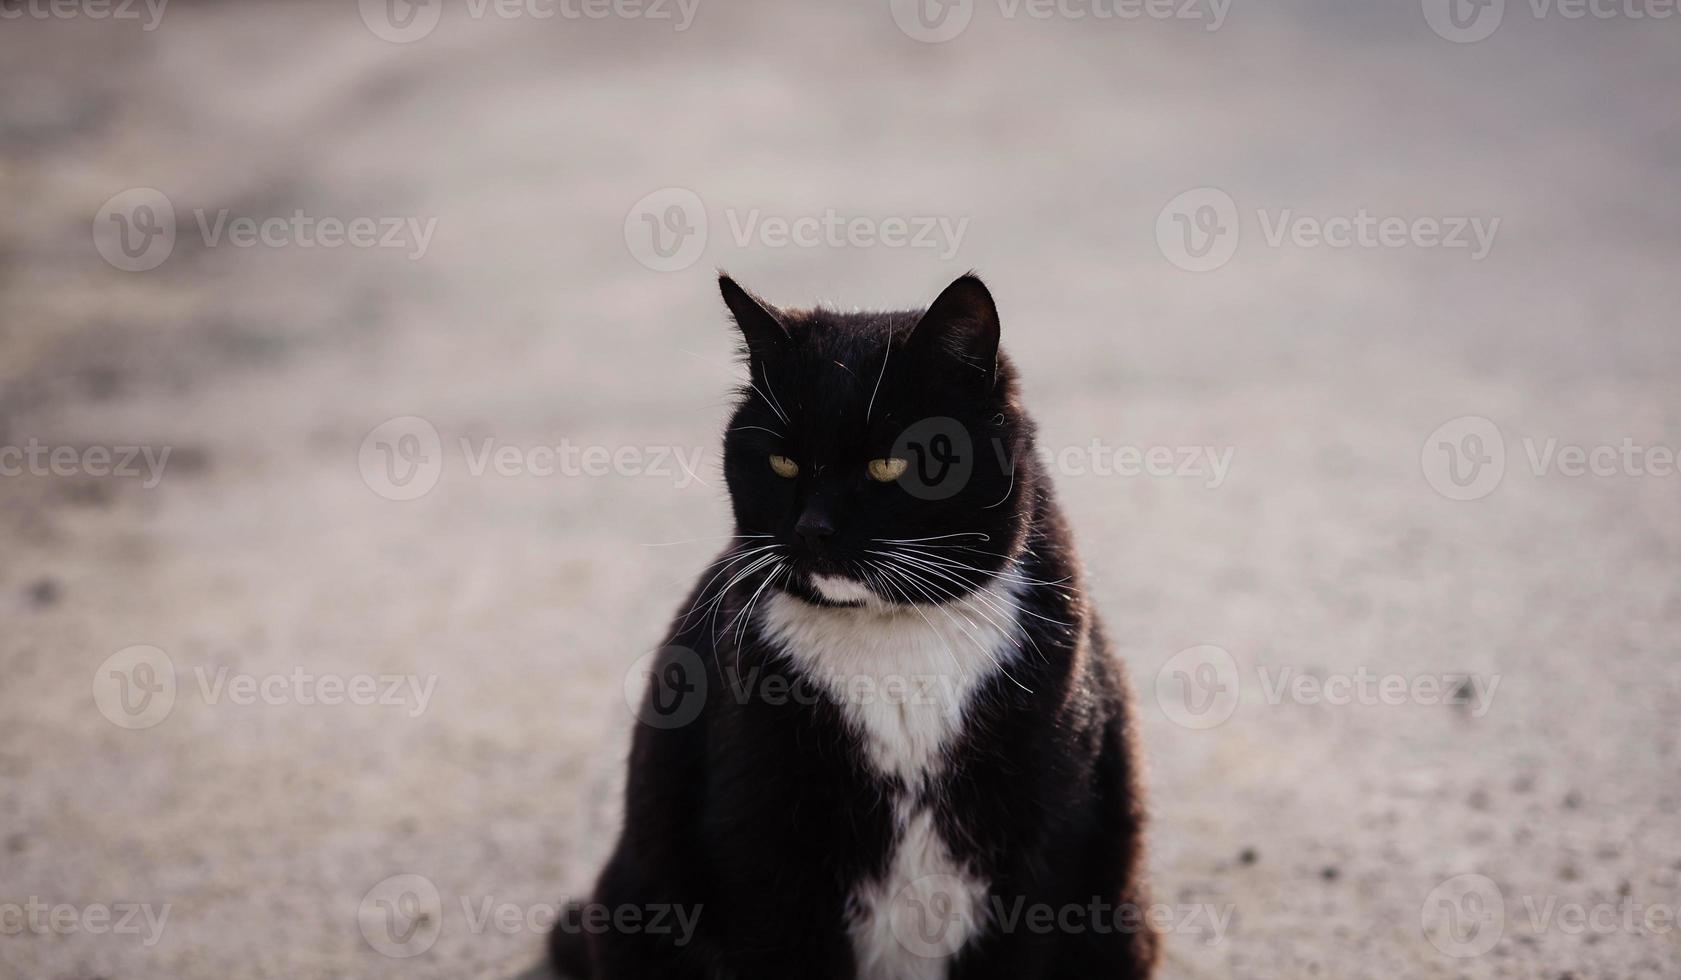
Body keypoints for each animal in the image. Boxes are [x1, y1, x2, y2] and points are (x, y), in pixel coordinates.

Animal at [551, 273, 1156, 980]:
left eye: (891, 463)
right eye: (782, 462)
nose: (813, 528)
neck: (895, 638)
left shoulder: (1044, 837)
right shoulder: (762, 846)